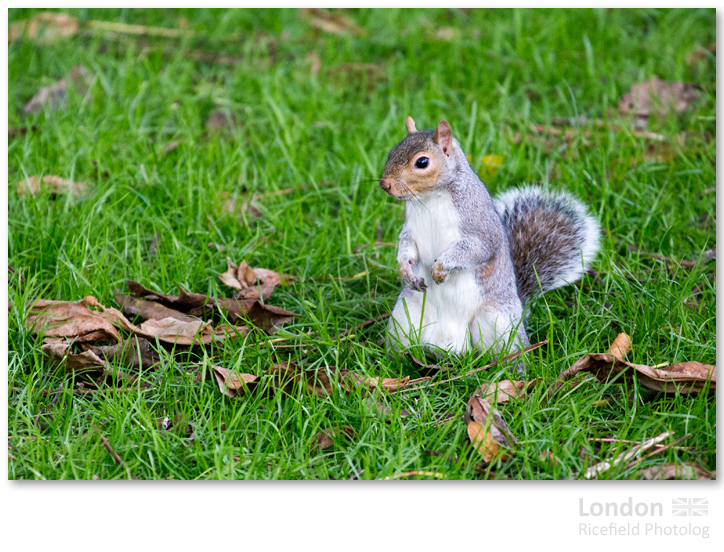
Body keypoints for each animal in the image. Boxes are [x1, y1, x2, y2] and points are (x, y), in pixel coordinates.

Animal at [378, 116, 600, 358]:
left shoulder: (481, 228)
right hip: (403, 320)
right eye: (391, 152)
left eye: (422, 162)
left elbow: (477, 249)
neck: (428, 199)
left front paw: (441, 267)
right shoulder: (410, 229)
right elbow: (407, 246)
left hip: (499, 323)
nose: (384, 184)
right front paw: (405, 269)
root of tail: (448, 346)